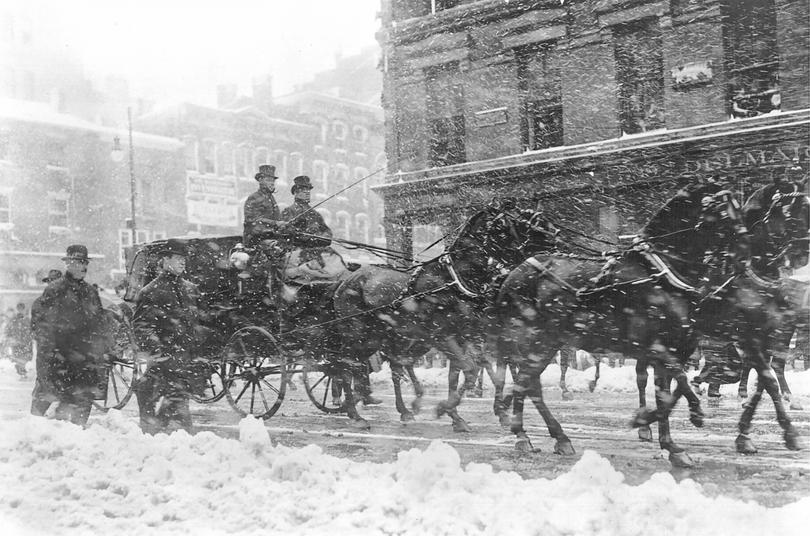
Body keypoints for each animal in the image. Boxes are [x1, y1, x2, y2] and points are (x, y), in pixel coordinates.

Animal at [330, 201, 560, 432]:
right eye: (526, 219)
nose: (557, 238)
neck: (454, 279)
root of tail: (345, 281)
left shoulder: (464, 336)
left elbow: (460, 375)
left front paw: (457, 416)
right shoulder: (444, 335)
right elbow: (472, 370)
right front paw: (446, 409)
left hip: (379, 338)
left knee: (384, 366)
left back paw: (395, 407)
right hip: (358, 335)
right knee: (346, 366)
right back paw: (355, 413)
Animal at [492, 182, 756, 466]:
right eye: (724, 211)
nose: (745, 257)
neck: (659, 273)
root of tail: (513, 275)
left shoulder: (674, 348)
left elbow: (667, 393)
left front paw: (670, 444)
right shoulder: (656, 347)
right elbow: (681, 382)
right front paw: (686, 415)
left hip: (546, 343)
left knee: (528, 382)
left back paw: (540, 434)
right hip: (537, 340)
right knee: (528, 383)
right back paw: (528, 434)